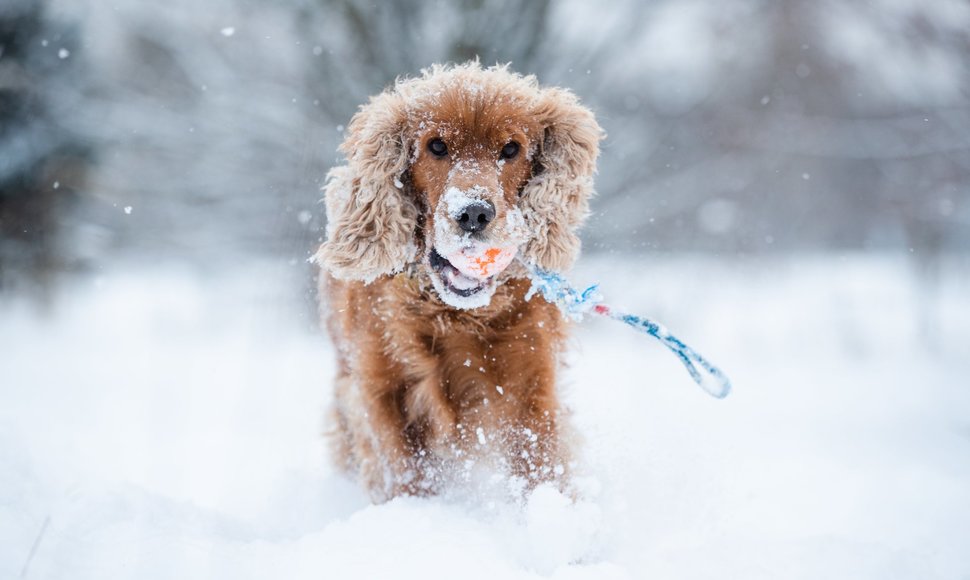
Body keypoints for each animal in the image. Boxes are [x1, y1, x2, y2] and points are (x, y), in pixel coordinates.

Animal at [314, 61, 600, 500]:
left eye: (511, 149)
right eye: (436, 146)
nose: (474, 213)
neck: (453, 314)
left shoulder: (530, 384)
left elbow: (541, 465)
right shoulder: (382, 391)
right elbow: (404, 473)